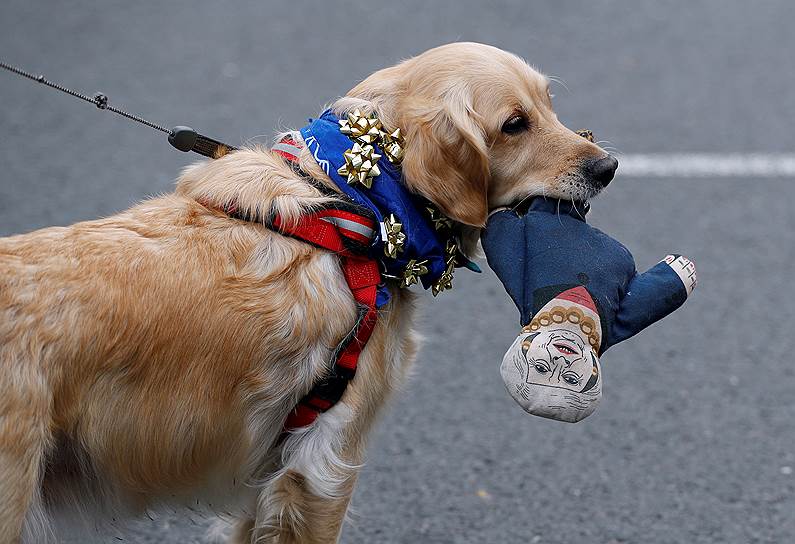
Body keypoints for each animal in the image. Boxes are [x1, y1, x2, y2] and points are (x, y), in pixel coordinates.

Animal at [0, 43, 616, 544]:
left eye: (548, 103)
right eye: (514, 124)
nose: (607, 166)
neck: (359, 202)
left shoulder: (268, 479)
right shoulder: (322, 463)